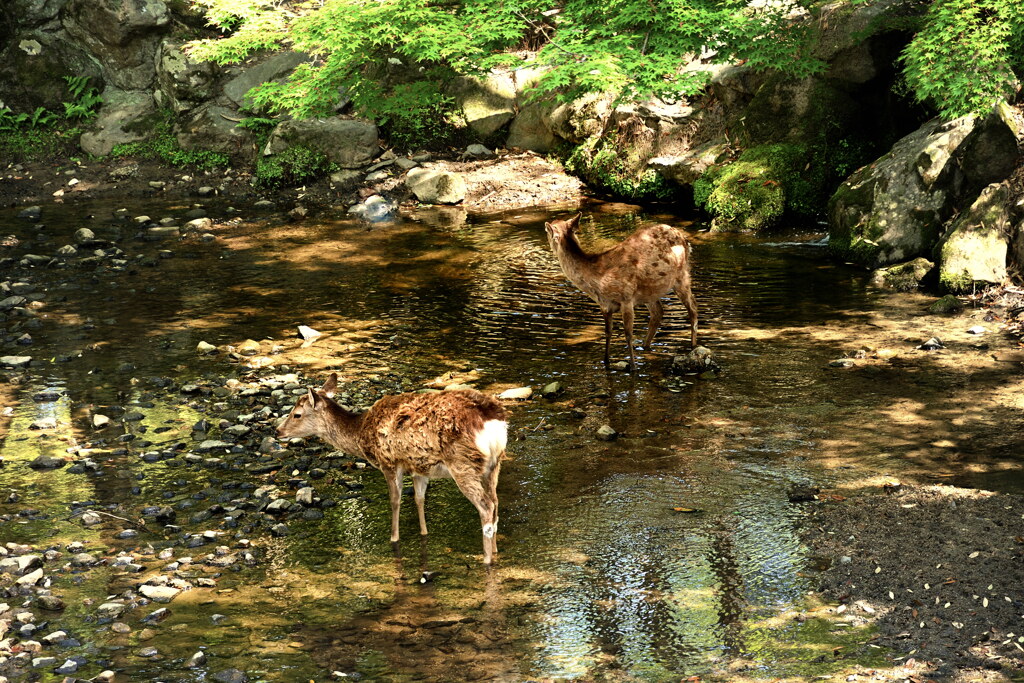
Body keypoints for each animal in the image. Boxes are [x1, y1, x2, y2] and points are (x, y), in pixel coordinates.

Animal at [276, 374, 507, 565]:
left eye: (296, 414)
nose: (277, 431)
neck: (360, 433)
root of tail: (493, 423)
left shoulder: (388, 461)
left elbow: (395, 501)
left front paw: (394, 538)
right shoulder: (419, 467)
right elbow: (419, 499)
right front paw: (424, 533)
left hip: (463, 463)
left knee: (486, 506)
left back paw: (486, 559)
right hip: (493, 465)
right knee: (495, 503)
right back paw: (495, 551)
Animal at [544, 211, 696, 368]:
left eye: (547, 231)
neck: (597, 279)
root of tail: (684, 239)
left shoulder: (626, 298)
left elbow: (628, 334)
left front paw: (633, 366)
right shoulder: (605, 306)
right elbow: (608, 332)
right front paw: (606, 362)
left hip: (681, 274)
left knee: (693, 308)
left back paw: (693, 346)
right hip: (650, 290)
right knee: (658, 312)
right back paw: (645, 346)